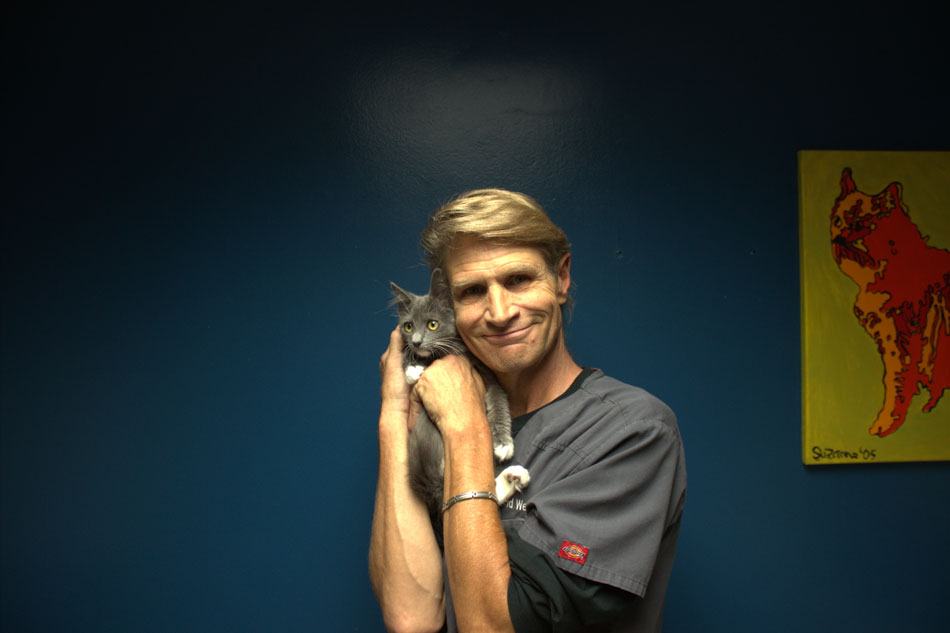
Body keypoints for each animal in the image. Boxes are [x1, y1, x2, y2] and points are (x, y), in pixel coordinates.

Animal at [390, 270, 532, 520]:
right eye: (408, 327)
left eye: (432, 324)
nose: (416, 341)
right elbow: (409, 359)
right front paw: (413, 368)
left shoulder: (489, 377)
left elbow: (498, 401)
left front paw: (503, 444)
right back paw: (512, 477)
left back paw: (513, 476)